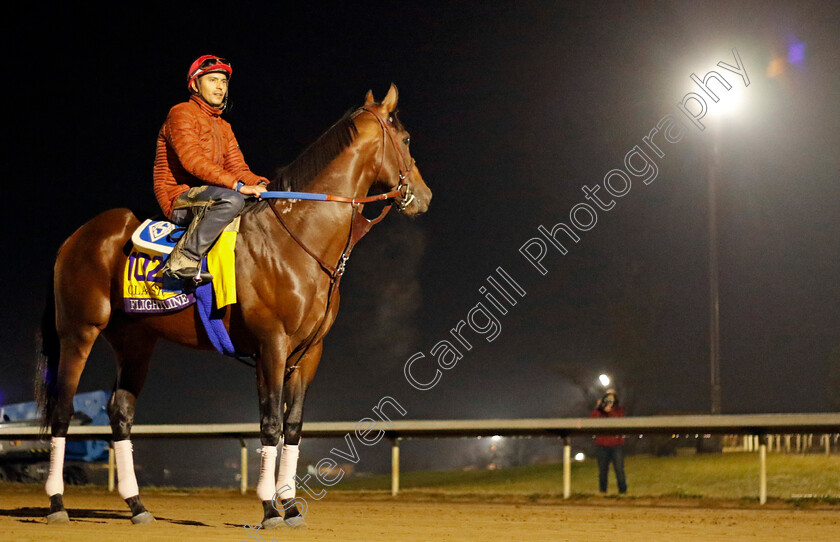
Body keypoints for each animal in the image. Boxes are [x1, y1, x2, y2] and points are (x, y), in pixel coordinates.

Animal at [35, 84, 430, 528]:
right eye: (407, 139)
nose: (424, 196)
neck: (296, 238)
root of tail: (75, 238)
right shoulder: (271, 346)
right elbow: (270, 424)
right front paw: (270, 508)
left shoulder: (309, 352)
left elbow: (293, 427)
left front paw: (291, 506)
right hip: (78, 331)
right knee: (63, 410)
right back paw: (57, 504)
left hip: (135, 341)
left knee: (120, 413)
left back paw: (137, 506)